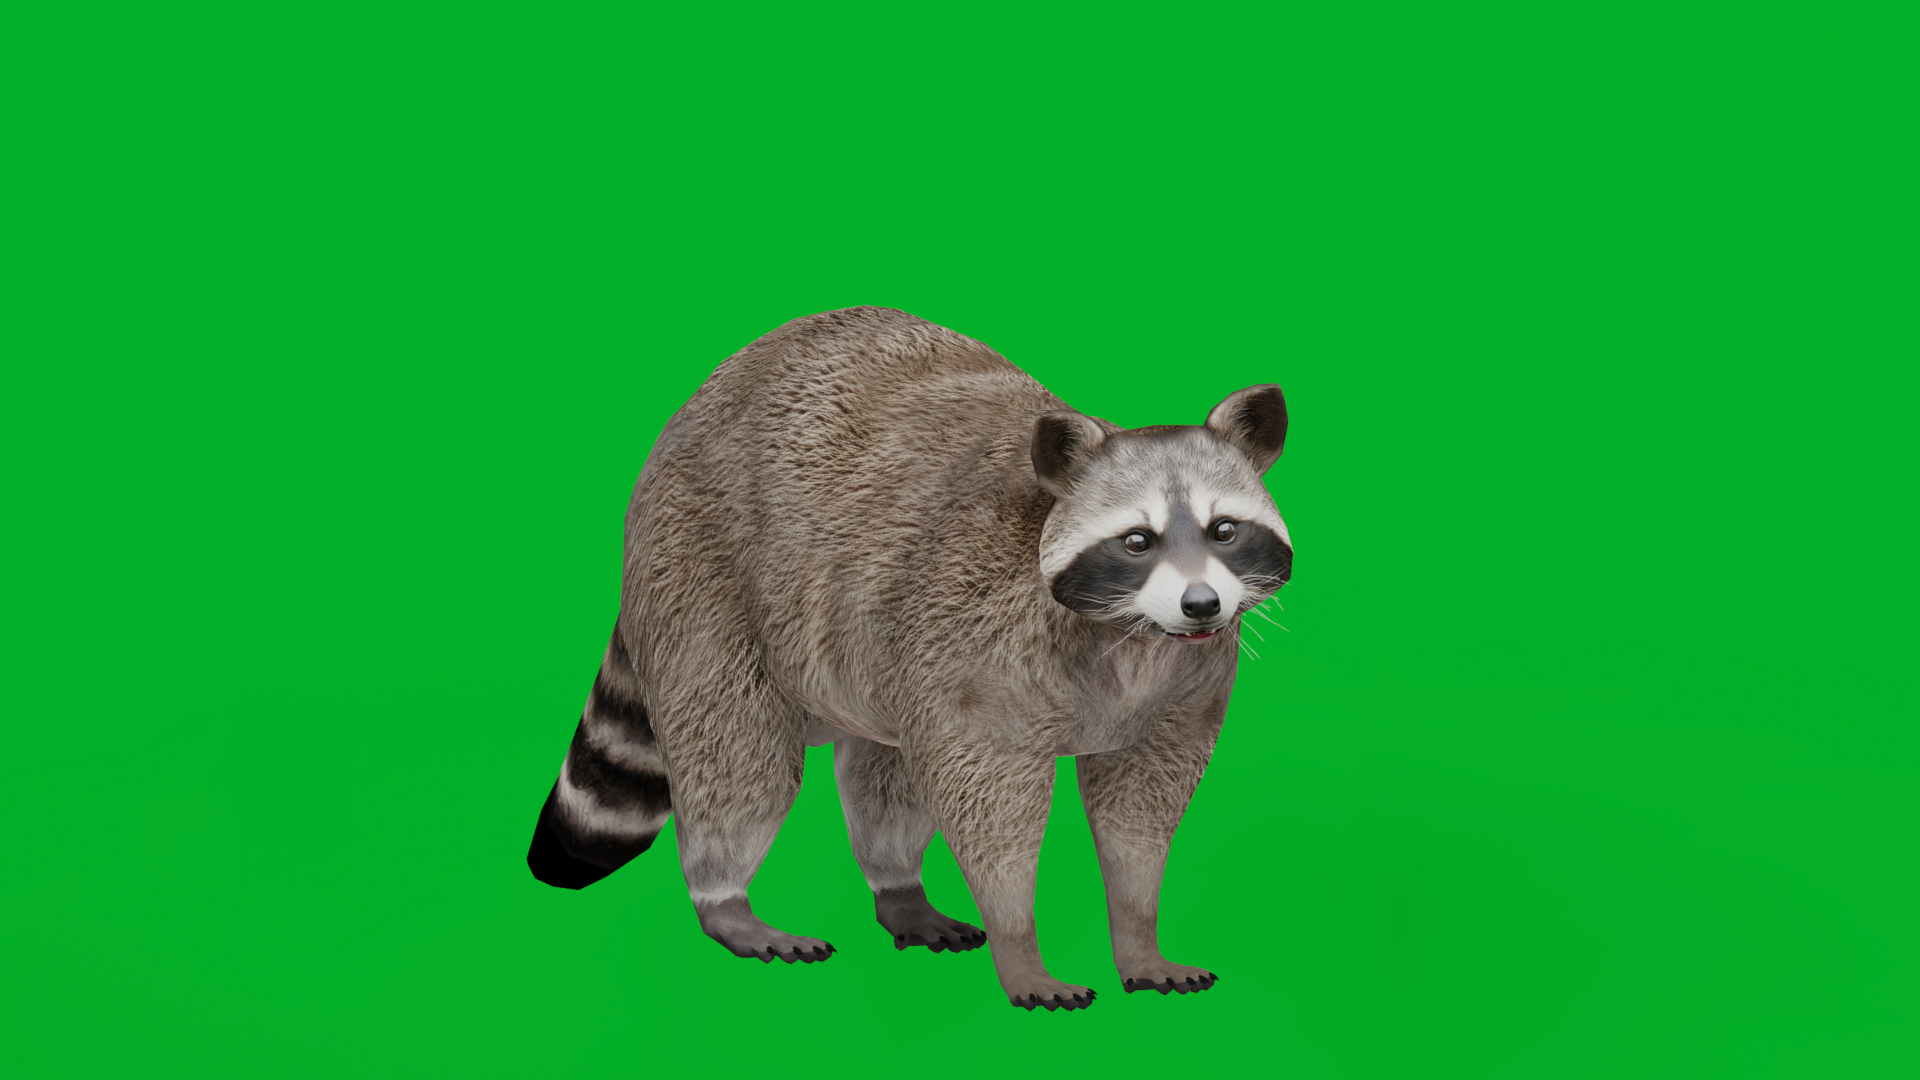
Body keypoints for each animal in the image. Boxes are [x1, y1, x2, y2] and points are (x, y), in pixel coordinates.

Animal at [527, 307, 1293, 1011]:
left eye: (1225, 530)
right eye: (1137, 541)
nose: (1201, 605)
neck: (1130, 634)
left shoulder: (1184, 684)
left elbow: (1140, 809)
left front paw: (1138, 934)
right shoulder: (976, 642)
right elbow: (992, 807)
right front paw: (1021, 944)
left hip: (879, 643)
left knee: (887, 772)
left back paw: (897, 883)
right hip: (699, 573)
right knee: (740, 755)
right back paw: (726, 899)